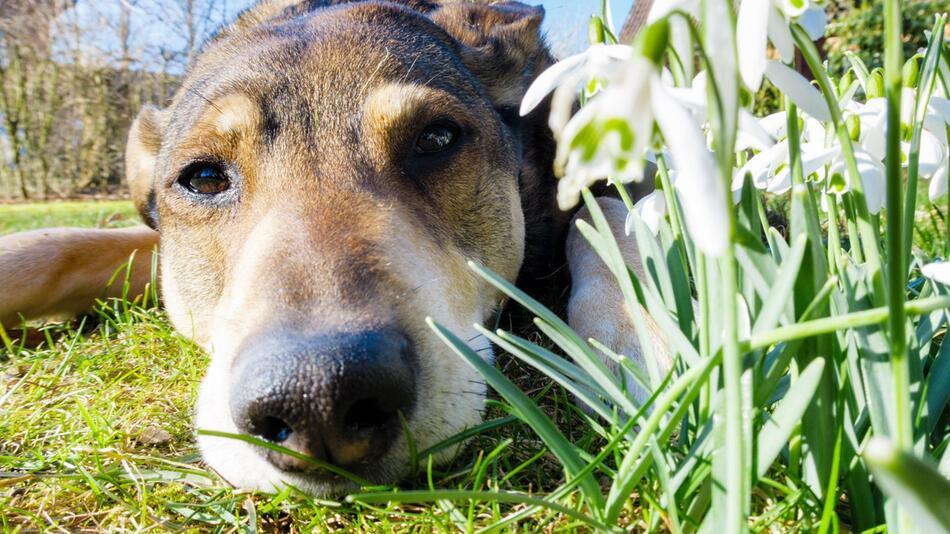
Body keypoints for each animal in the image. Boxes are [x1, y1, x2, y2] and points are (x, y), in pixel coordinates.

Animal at [0, 0, 668, 498]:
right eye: (203, 177)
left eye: (437, 138)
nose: (318, 397)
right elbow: (60, 244)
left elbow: (610, 217)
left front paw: (641, 335)